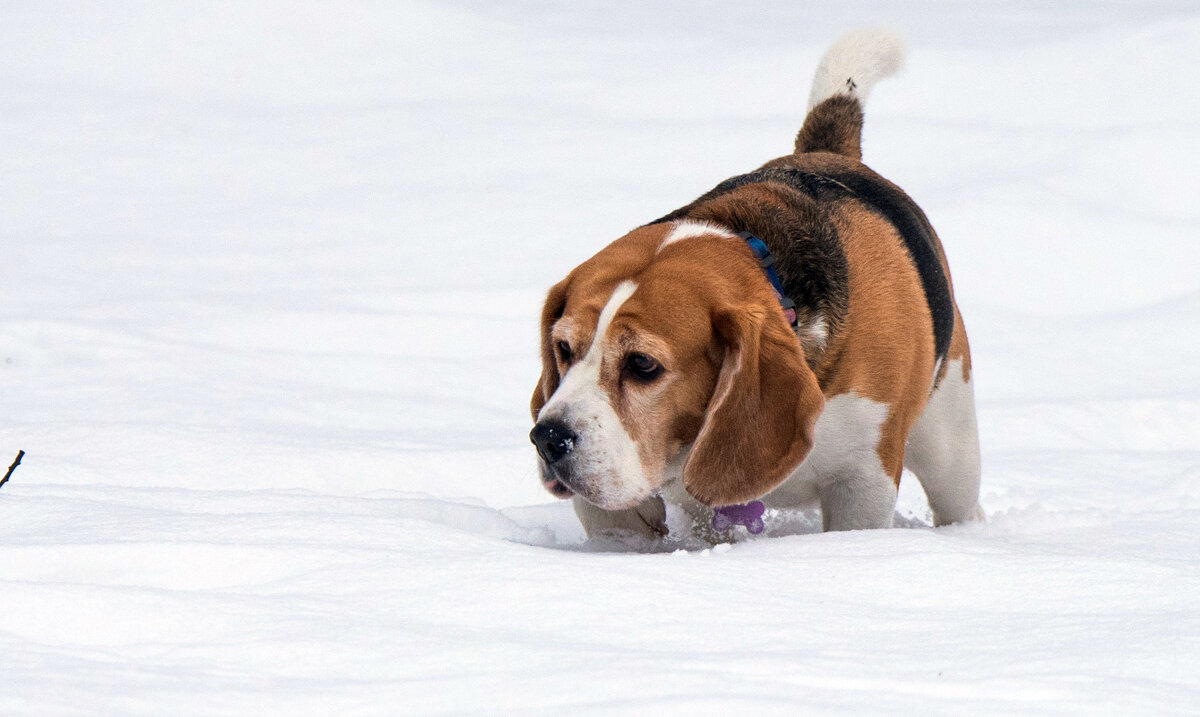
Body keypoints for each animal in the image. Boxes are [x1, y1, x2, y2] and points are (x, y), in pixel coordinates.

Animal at [530, 30, 979, 541]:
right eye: (563, 348)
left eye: (643, 364)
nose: (547, 437)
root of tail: (826, 154)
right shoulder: (614, 501)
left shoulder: (863, 480)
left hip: (951, 442)